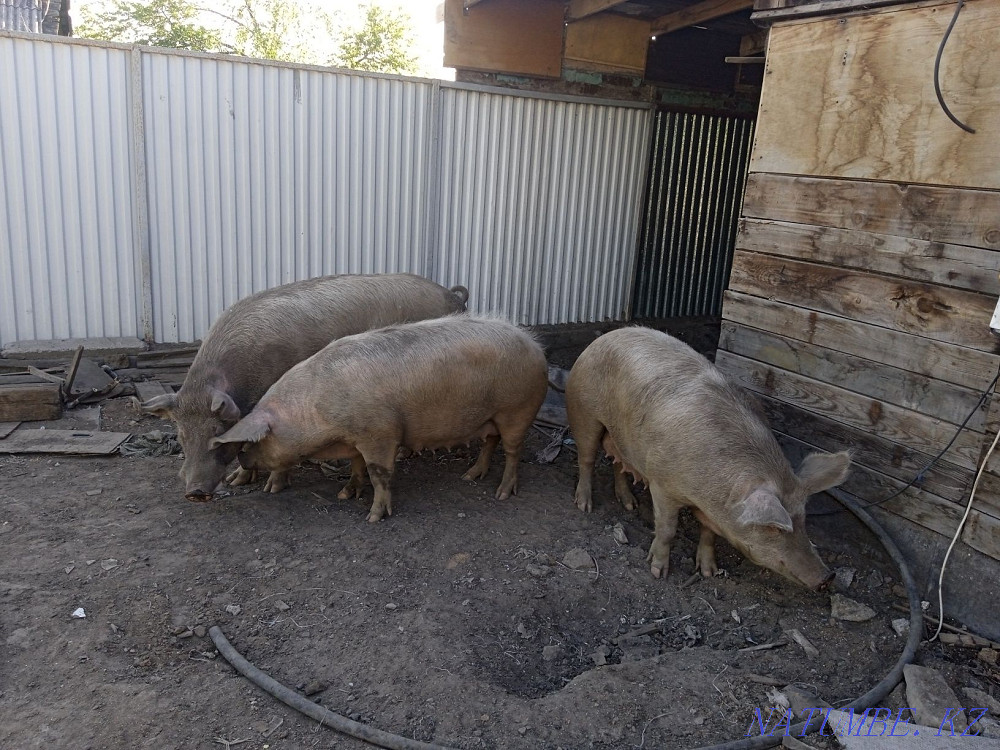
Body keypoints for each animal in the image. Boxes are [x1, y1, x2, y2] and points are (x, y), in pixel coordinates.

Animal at [141, 274, 469, 501]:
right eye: (181, 435)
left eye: (216, 433)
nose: (195, 493)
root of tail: (454, 298)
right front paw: (238, 481)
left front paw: (272, 489)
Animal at [207, 315, 548, 522]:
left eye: (255, 441)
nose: (240, 458)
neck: (315, 413)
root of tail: (535, 345)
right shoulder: (356, 437)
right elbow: (357, 466)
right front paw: (345, 494)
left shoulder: (380, 434)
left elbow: (378, 473)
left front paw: (373, 516)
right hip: (490, 416)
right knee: (490, 441)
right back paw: (470, 476)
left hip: (518, 409)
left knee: (513, 451)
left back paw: (501, 493)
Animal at [566, 327, 850, 590]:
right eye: (775, 528)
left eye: (803, 519)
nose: (827, 577)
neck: (716, 493)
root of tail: (607, 335)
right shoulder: (662, 484)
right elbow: (667, 529)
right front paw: (658, 572)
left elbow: (710, 533)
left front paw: (709, 572)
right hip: (584, 411)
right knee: (587, 458)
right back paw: (585, 505)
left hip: (623, 438)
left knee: (619, 463)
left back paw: (629, 505)